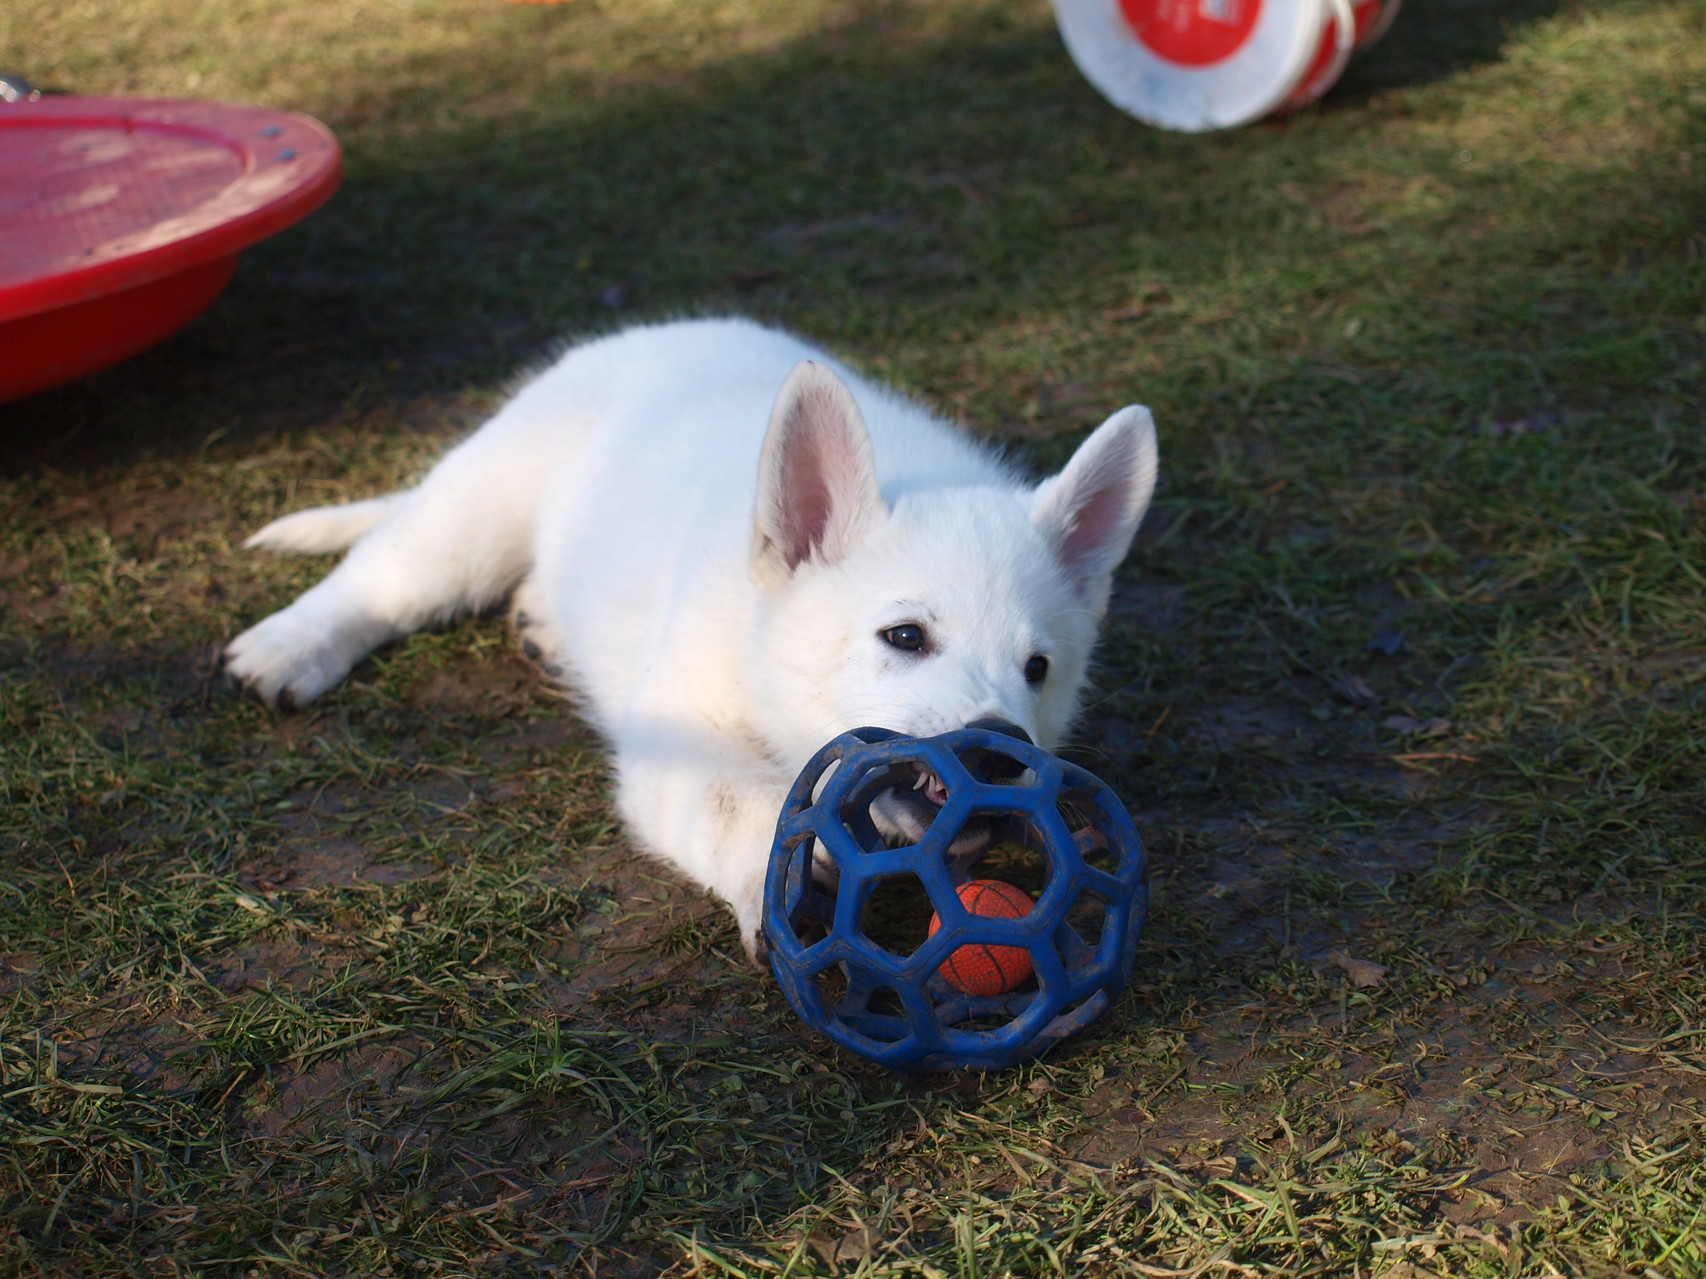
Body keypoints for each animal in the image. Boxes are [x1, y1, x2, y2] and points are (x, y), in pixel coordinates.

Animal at [226, 322, 1160, 954]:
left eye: (1038, 668)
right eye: (905, 635)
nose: (1000, 751)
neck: (757, 634)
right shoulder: (672, 741)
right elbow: (741, 804)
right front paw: (782, 889)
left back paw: (540, 624)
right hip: (479, 508)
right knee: (384, 572)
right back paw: (288, 646)